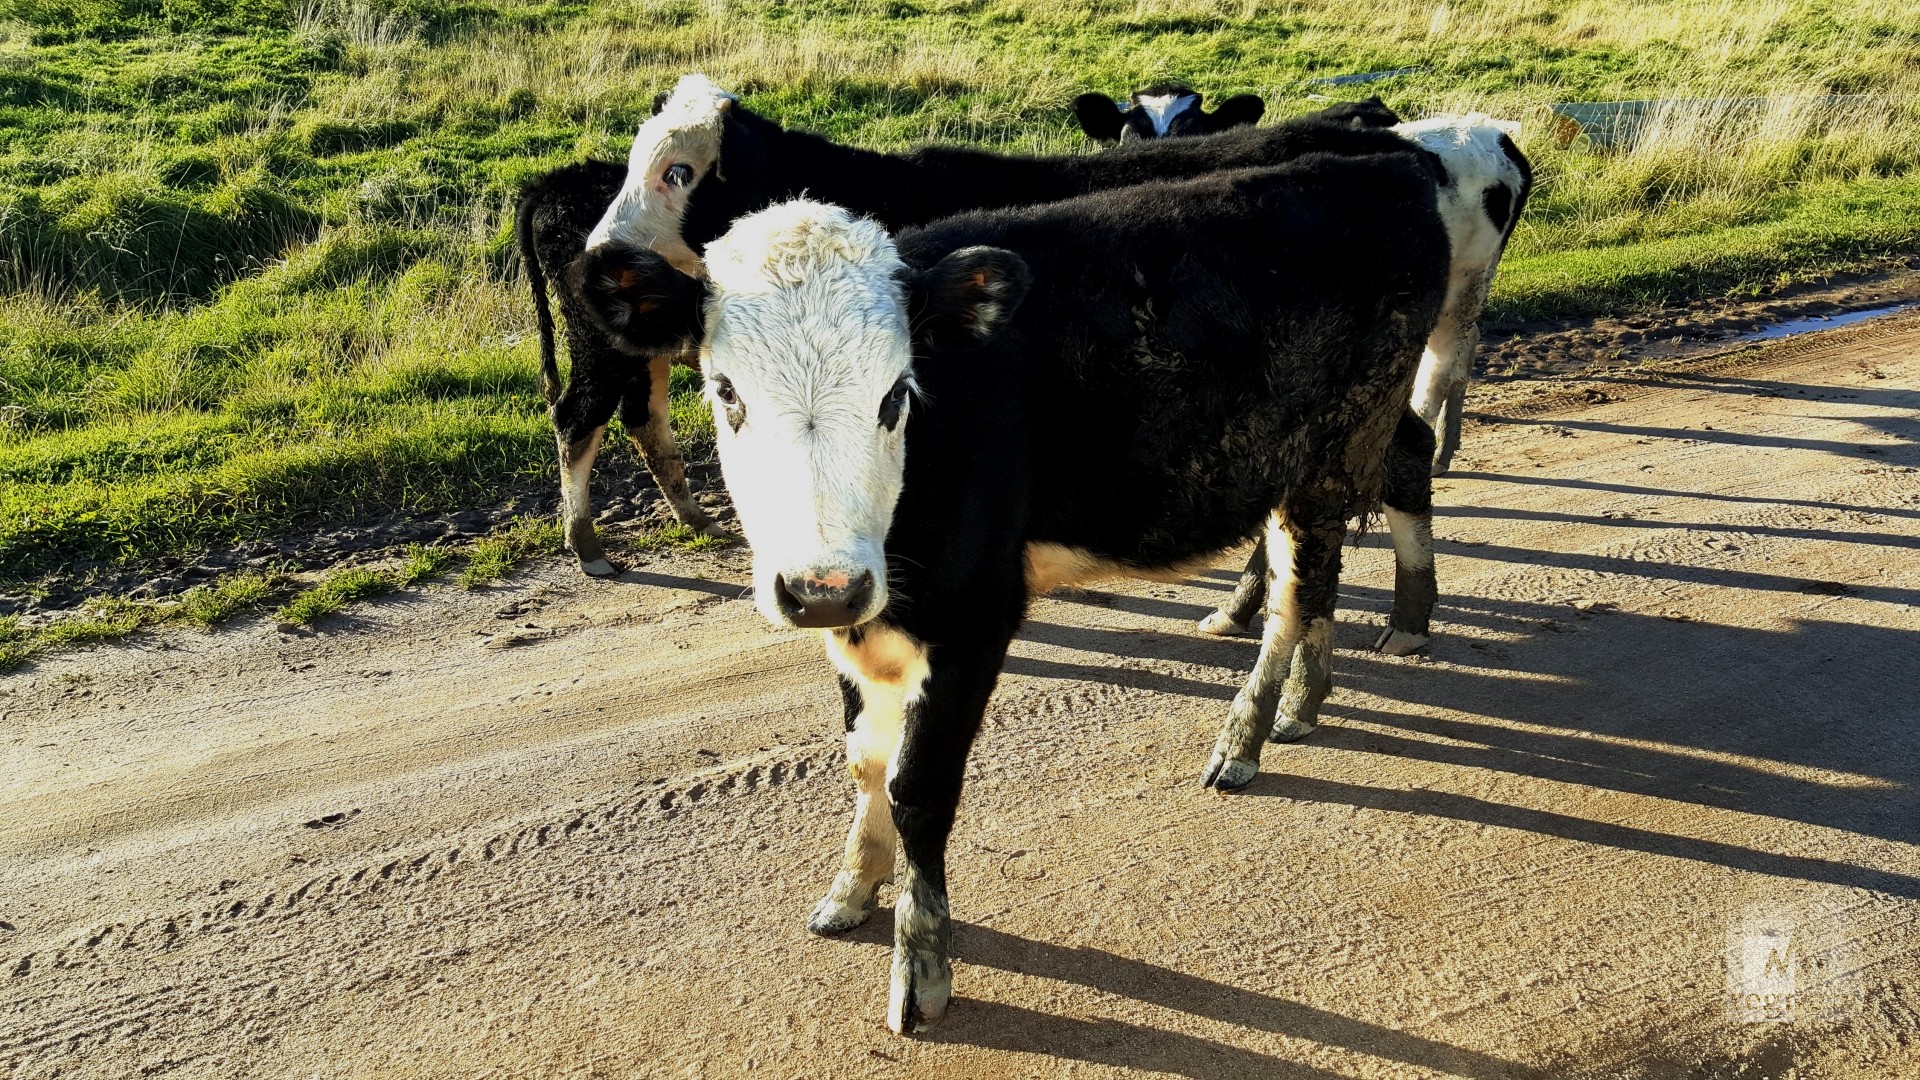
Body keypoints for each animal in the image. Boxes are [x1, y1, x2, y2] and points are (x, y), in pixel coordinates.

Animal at [614, 141, 1451, 1022]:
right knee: (1374, 502)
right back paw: (1331, 679)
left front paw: (921, 964)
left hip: (1329, 452)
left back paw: (1255, 729)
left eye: (896, 394)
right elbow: (864, 762)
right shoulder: (862, 616)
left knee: (1300, 590)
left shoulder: (973, 618)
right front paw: (852, 887)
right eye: (725, 392)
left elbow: (918, 788)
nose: (821, 589)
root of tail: (1385, 163)